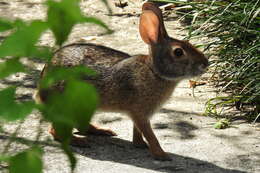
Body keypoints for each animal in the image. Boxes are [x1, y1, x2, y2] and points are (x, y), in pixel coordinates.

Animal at [35, 2, 209, 161]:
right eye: (178, 52)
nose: (205, 64)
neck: (155, 72)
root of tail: (41, 86)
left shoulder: (138, 114)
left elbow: (137, 130)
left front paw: (139, 144)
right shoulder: (140, 113)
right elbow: (150, 134)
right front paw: (161, 155)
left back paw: (102, 132)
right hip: (66, 104)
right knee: (55, 131)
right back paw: (78, 141)